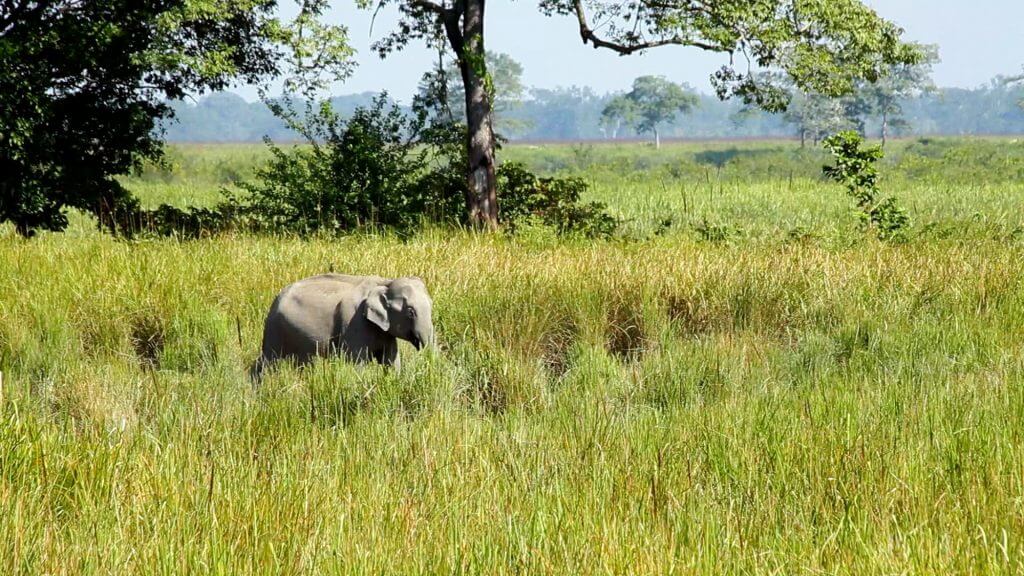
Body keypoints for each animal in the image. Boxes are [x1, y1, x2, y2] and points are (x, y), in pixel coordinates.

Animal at [256, 272, 436, 379]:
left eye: (431, 304)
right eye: (410, 312)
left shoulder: (385, 332)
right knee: (270, 362)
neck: (384, 282)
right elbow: (357, 363)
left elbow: (391, 360)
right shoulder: (353, 324)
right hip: (275, 328)